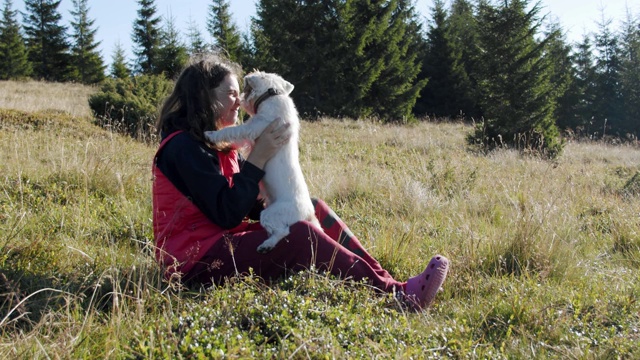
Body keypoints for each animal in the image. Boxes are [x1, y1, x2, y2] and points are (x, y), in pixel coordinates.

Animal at [206, 71, 320, 253]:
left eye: (246, 89)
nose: (239, 100)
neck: (273, 94)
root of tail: (308, 213)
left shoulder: (253, 126)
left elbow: (232, 130)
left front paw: (211, 134)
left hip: (270, 214)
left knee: (282, 231)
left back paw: (266, 245)